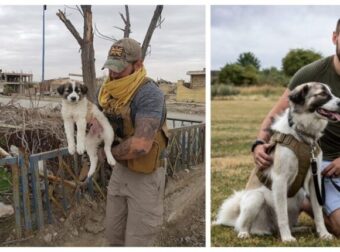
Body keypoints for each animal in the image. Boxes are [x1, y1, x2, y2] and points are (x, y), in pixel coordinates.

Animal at [215, 82, 340, 242]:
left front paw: (323, 234)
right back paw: (246, 233)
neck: (302, 136)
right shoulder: (280, 180)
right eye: (322, 94)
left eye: (331, 92)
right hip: (256, 199)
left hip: (298, 197)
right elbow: (282, 215)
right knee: (243, 225)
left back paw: (297, 229)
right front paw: (286, 238)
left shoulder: (314, 180)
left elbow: (318, 213)